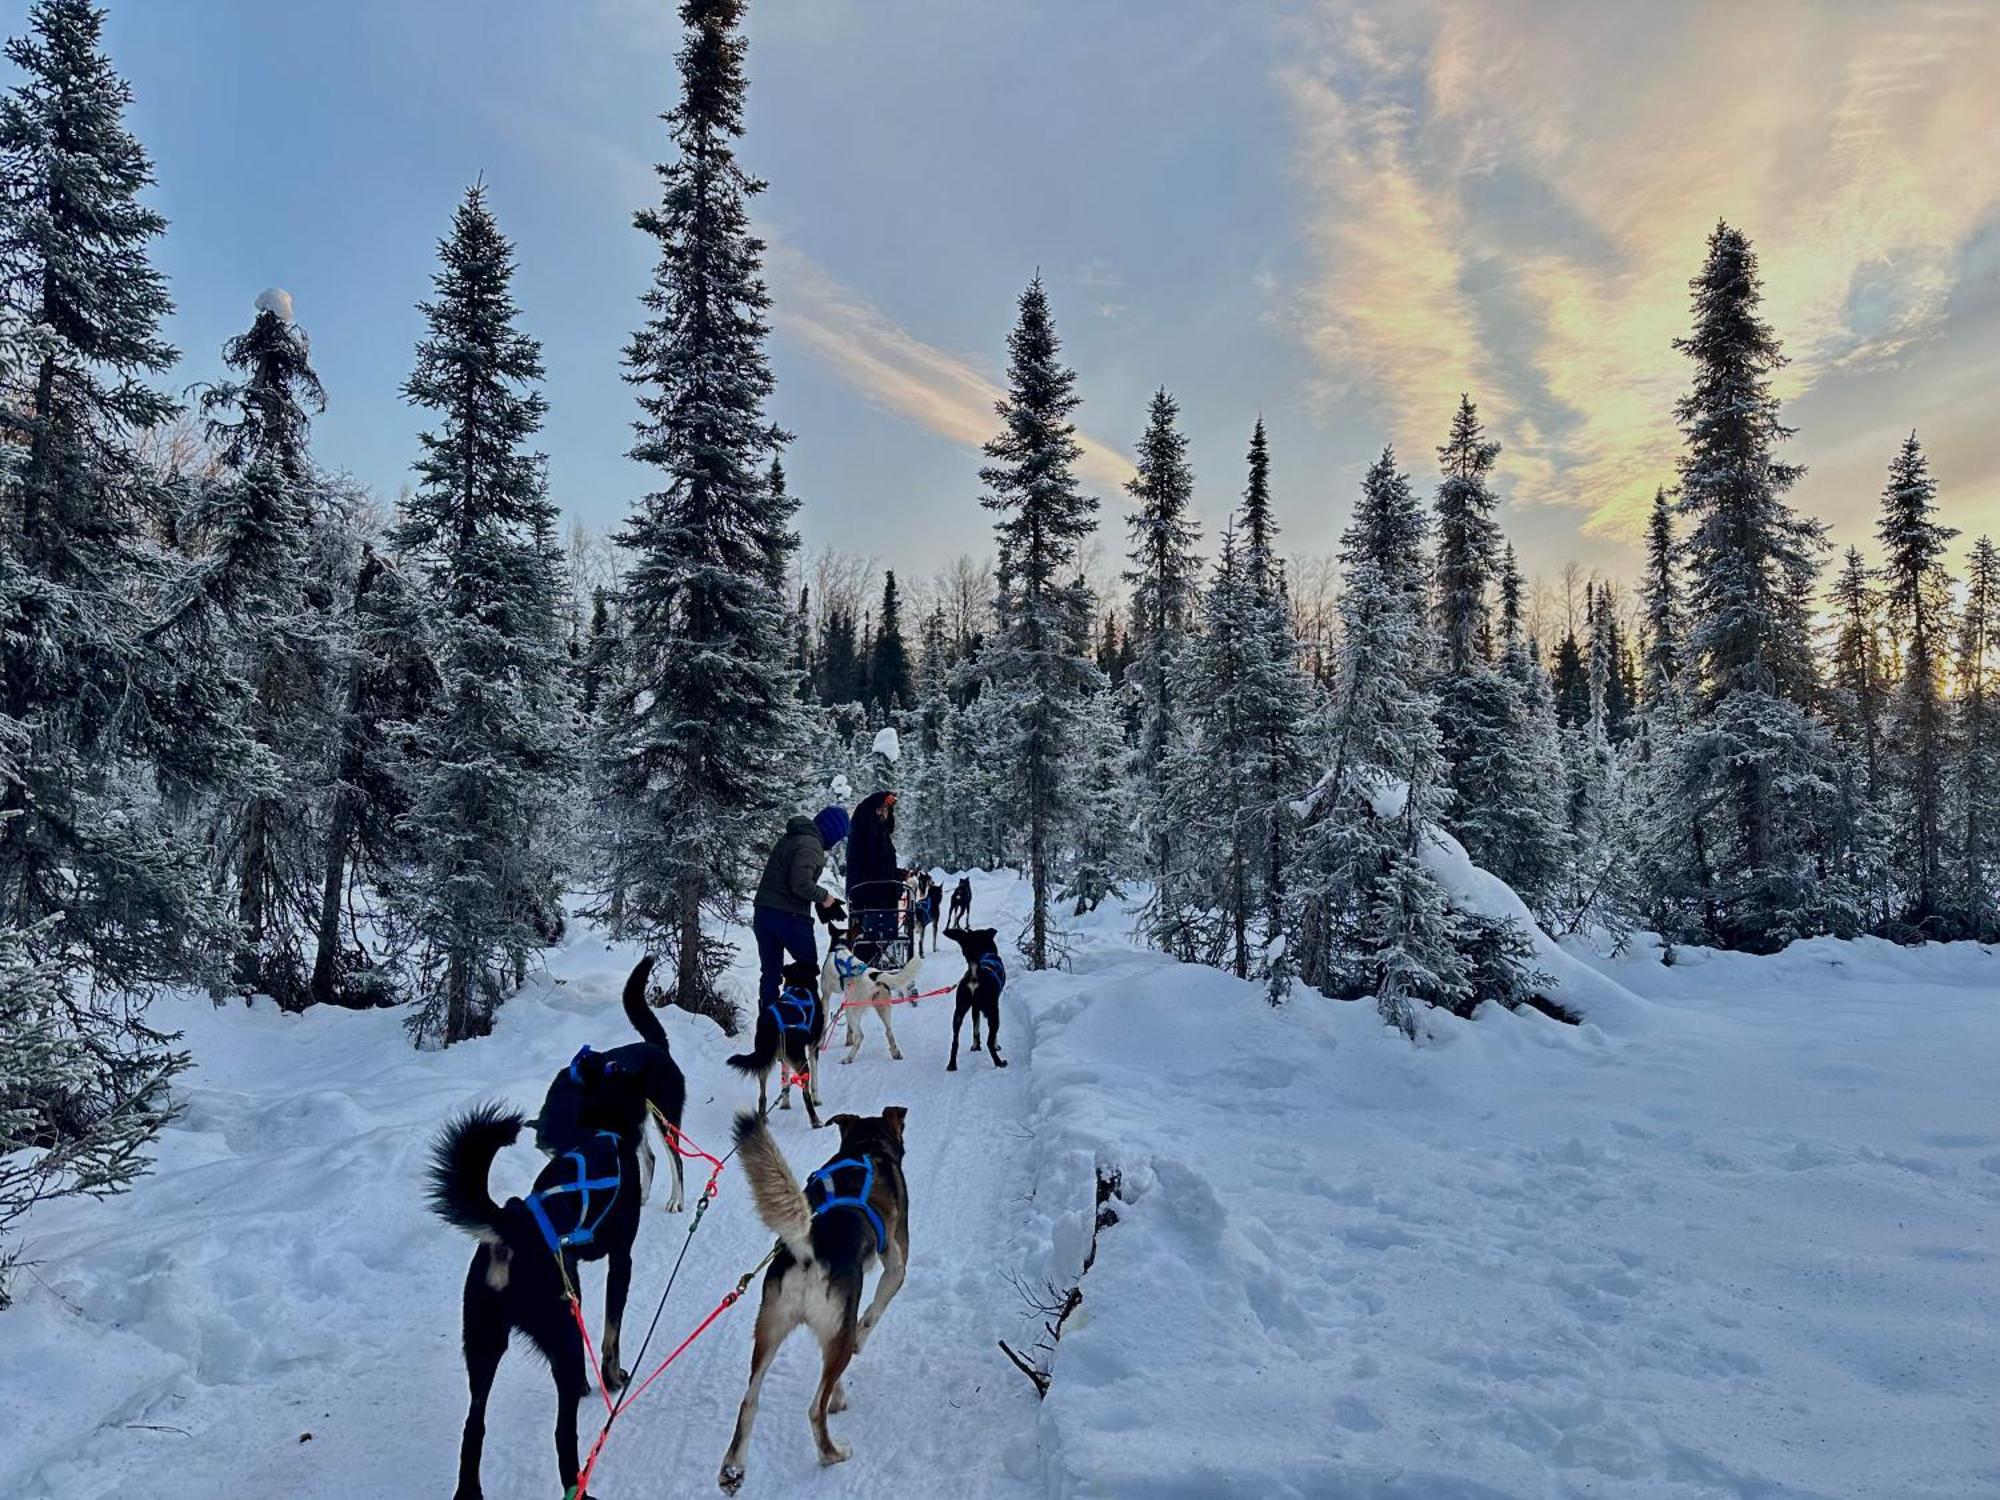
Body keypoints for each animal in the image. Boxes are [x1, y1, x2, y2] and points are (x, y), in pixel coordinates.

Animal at [728, 964, 828, 1128]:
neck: (799, 984)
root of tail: (772, 1022)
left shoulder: (784, 1056)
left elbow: (785, 1079)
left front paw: (785, 1102)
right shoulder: (813, 1045)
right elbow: (814, 1078)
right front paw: (817, 1099)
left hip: (764, 1058)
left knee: (762, 1095)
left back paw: (762, 1118)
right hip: (800, 1061)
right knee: (805, 1095)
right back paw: (815, 1120)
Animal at [940, 928, 1008, 1072]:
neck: (984, 953)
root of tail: (974, 975)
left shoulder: (974, 1008)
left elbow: (976, 1030)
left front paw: (975, 1047)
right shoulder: (993, 1008)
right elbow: (992, 1036)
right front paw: (996, 1046)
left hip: (958, 1013)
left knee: (955, 1041)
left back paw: (952, 1065)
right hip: (993, 1013)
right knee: (989, 1041)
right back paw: (999, 1062)